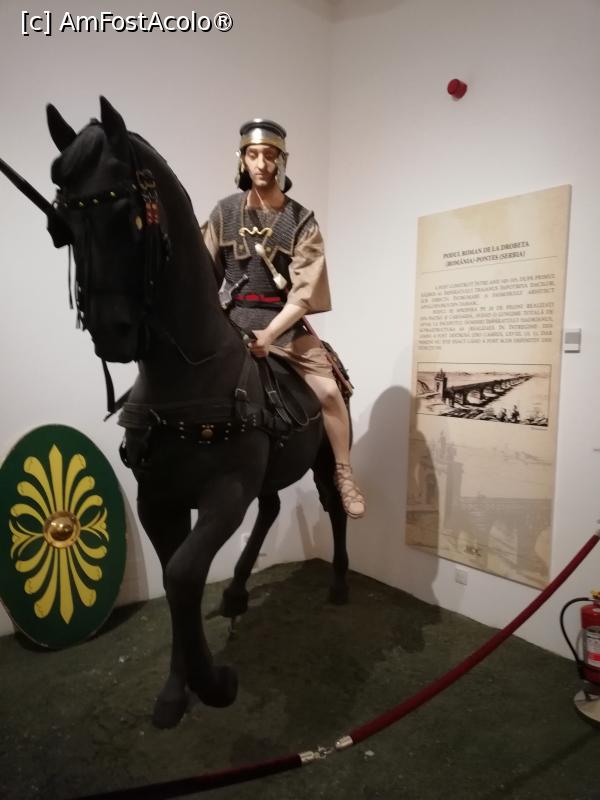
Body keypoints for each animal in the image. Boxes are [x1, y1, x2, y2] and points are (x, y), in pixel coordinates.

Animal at [29, 96, 350, 728]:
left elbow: (181, 576)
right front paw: (180, 688)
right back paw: (238, 589)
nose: (113, 332)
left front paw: (213, 682)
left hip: (325, 444)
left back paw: (341, 583)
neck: (188, 377)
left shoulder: (225, 490)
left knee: (333, 503)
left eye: (128, 217)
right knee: (271, 508)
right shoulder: (159, 498)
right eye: (64, 226)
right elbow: (178, 575)